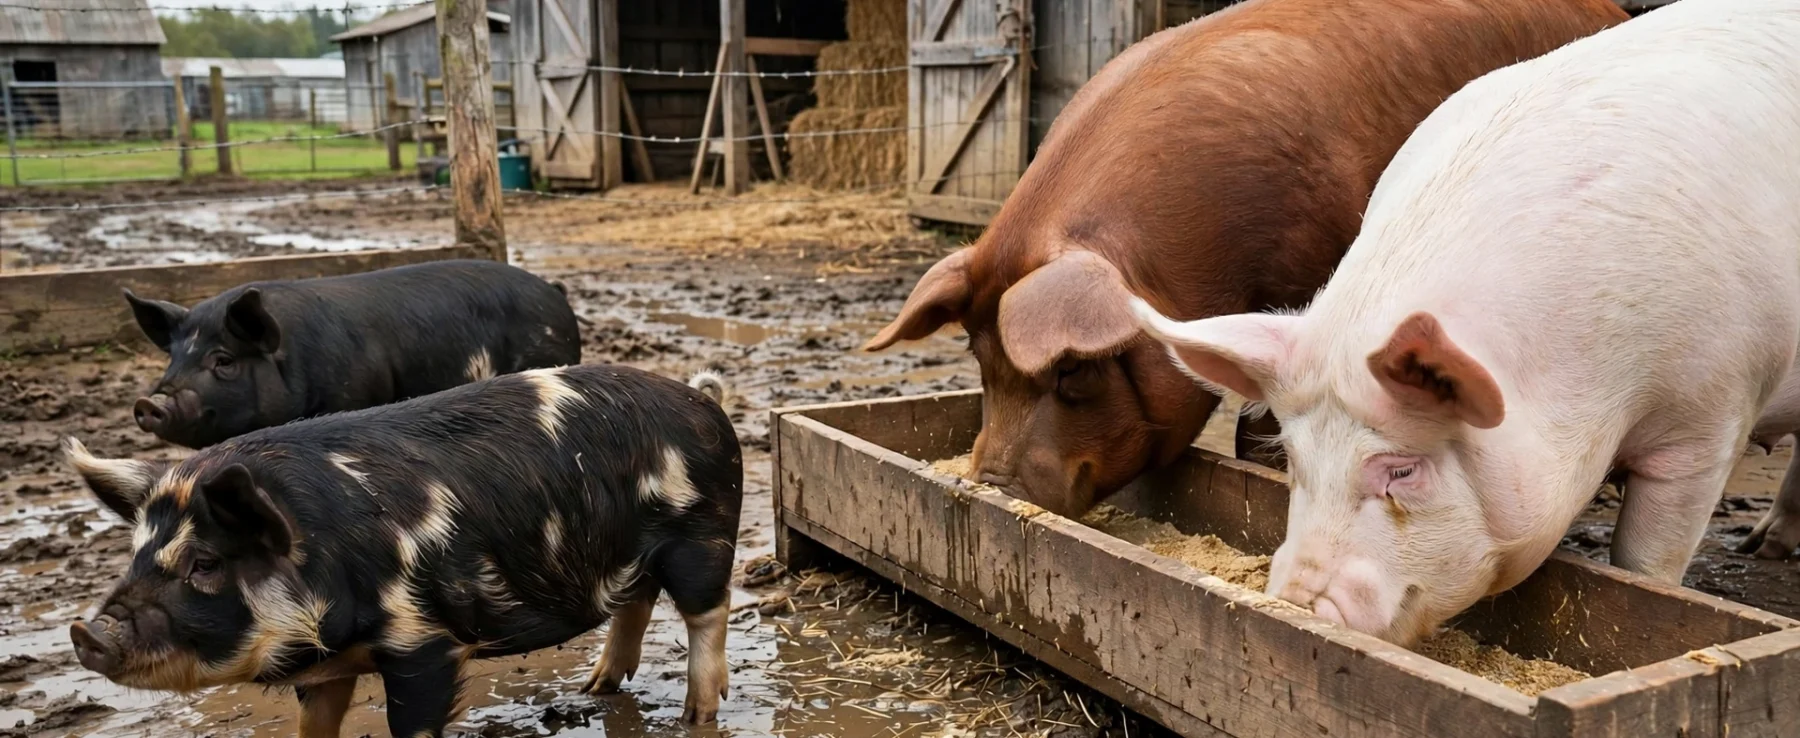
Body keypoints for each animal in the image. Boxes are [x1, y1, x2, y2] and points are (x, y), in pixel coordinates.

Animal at [63, 365, 742, 736]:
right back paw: (597, 688)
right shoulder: (327, 669)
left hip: (703, 535)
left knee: (708, 613)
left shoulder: (425, 640)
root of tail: (703, 399)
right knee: (636, 599)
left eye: (205, 563)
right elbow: (314, 726)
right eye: (135, 556)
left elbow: (411, 718)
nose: (88, 632)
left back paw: (697, 716)